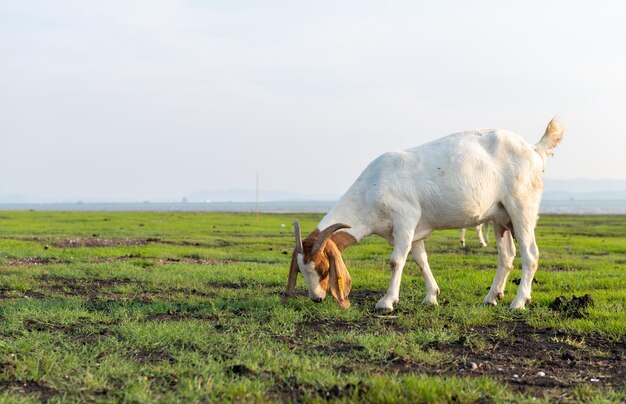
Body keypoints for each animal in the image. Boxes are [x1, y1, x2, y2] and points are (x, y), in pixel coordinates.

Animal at [280, 117, 564, 312]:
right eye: (302, 271)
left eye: (324, 268)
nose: (316, 298)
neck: (373, 185)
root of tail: (534, 148)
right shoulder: (414, 231)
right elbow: (420, 259)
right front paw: (431, 297)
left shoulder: (405, 218)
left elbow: (396, 260)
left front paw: (387, 302)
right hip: (499, 216)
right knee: (507, 256)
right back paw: (491, 297)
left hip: (521, 206)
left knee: (530, 254)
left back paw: (518, 302)